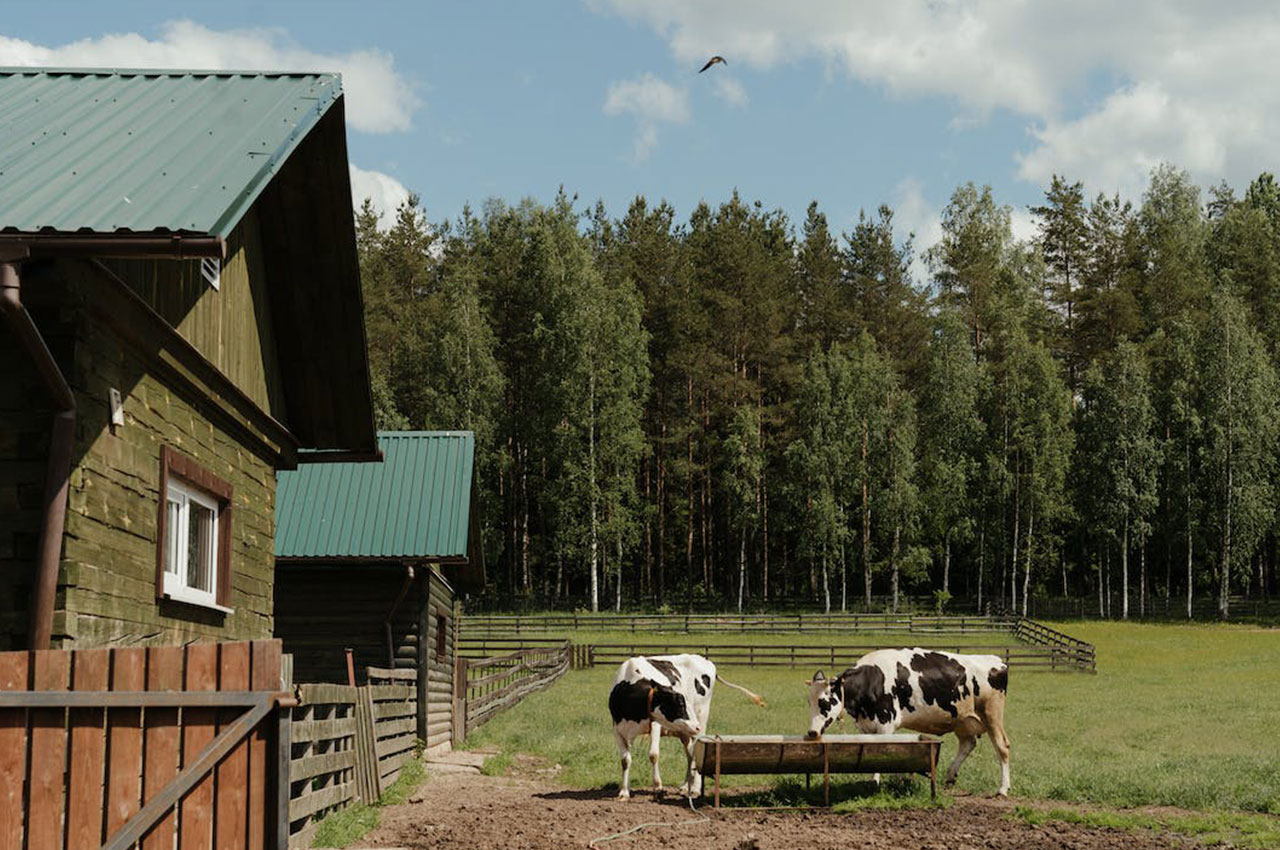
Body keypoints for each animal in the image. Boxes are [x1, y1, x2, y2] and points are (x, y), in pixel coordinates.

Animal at [606, 652, 762, 798]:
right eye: (680, 704)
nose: (696, 726)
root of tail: (705, 661)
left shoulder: (655, 724)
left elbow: (653, 755)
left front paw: (658, 785)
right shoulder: (617, 729)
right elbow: (625, 760)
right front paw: (624, 791)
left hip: (701, 719)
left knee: (697, 752)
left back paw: (695, 788)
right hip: (685, 731)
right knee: (690, 754)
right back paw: (686, 785)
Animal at [808, 650, 1008, 798]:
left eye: (824, 703)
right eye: (809, 703)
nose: (812, 732)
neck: (872, 680)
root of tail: (997, 661)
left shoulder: (886, 724)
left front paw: (875, 782)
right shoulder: (867, 726)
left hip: (992, 714)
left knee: (1002, 747)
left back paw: (1003, 789)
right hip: (962, 720)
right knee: (968, 744)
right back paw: (950, 776)